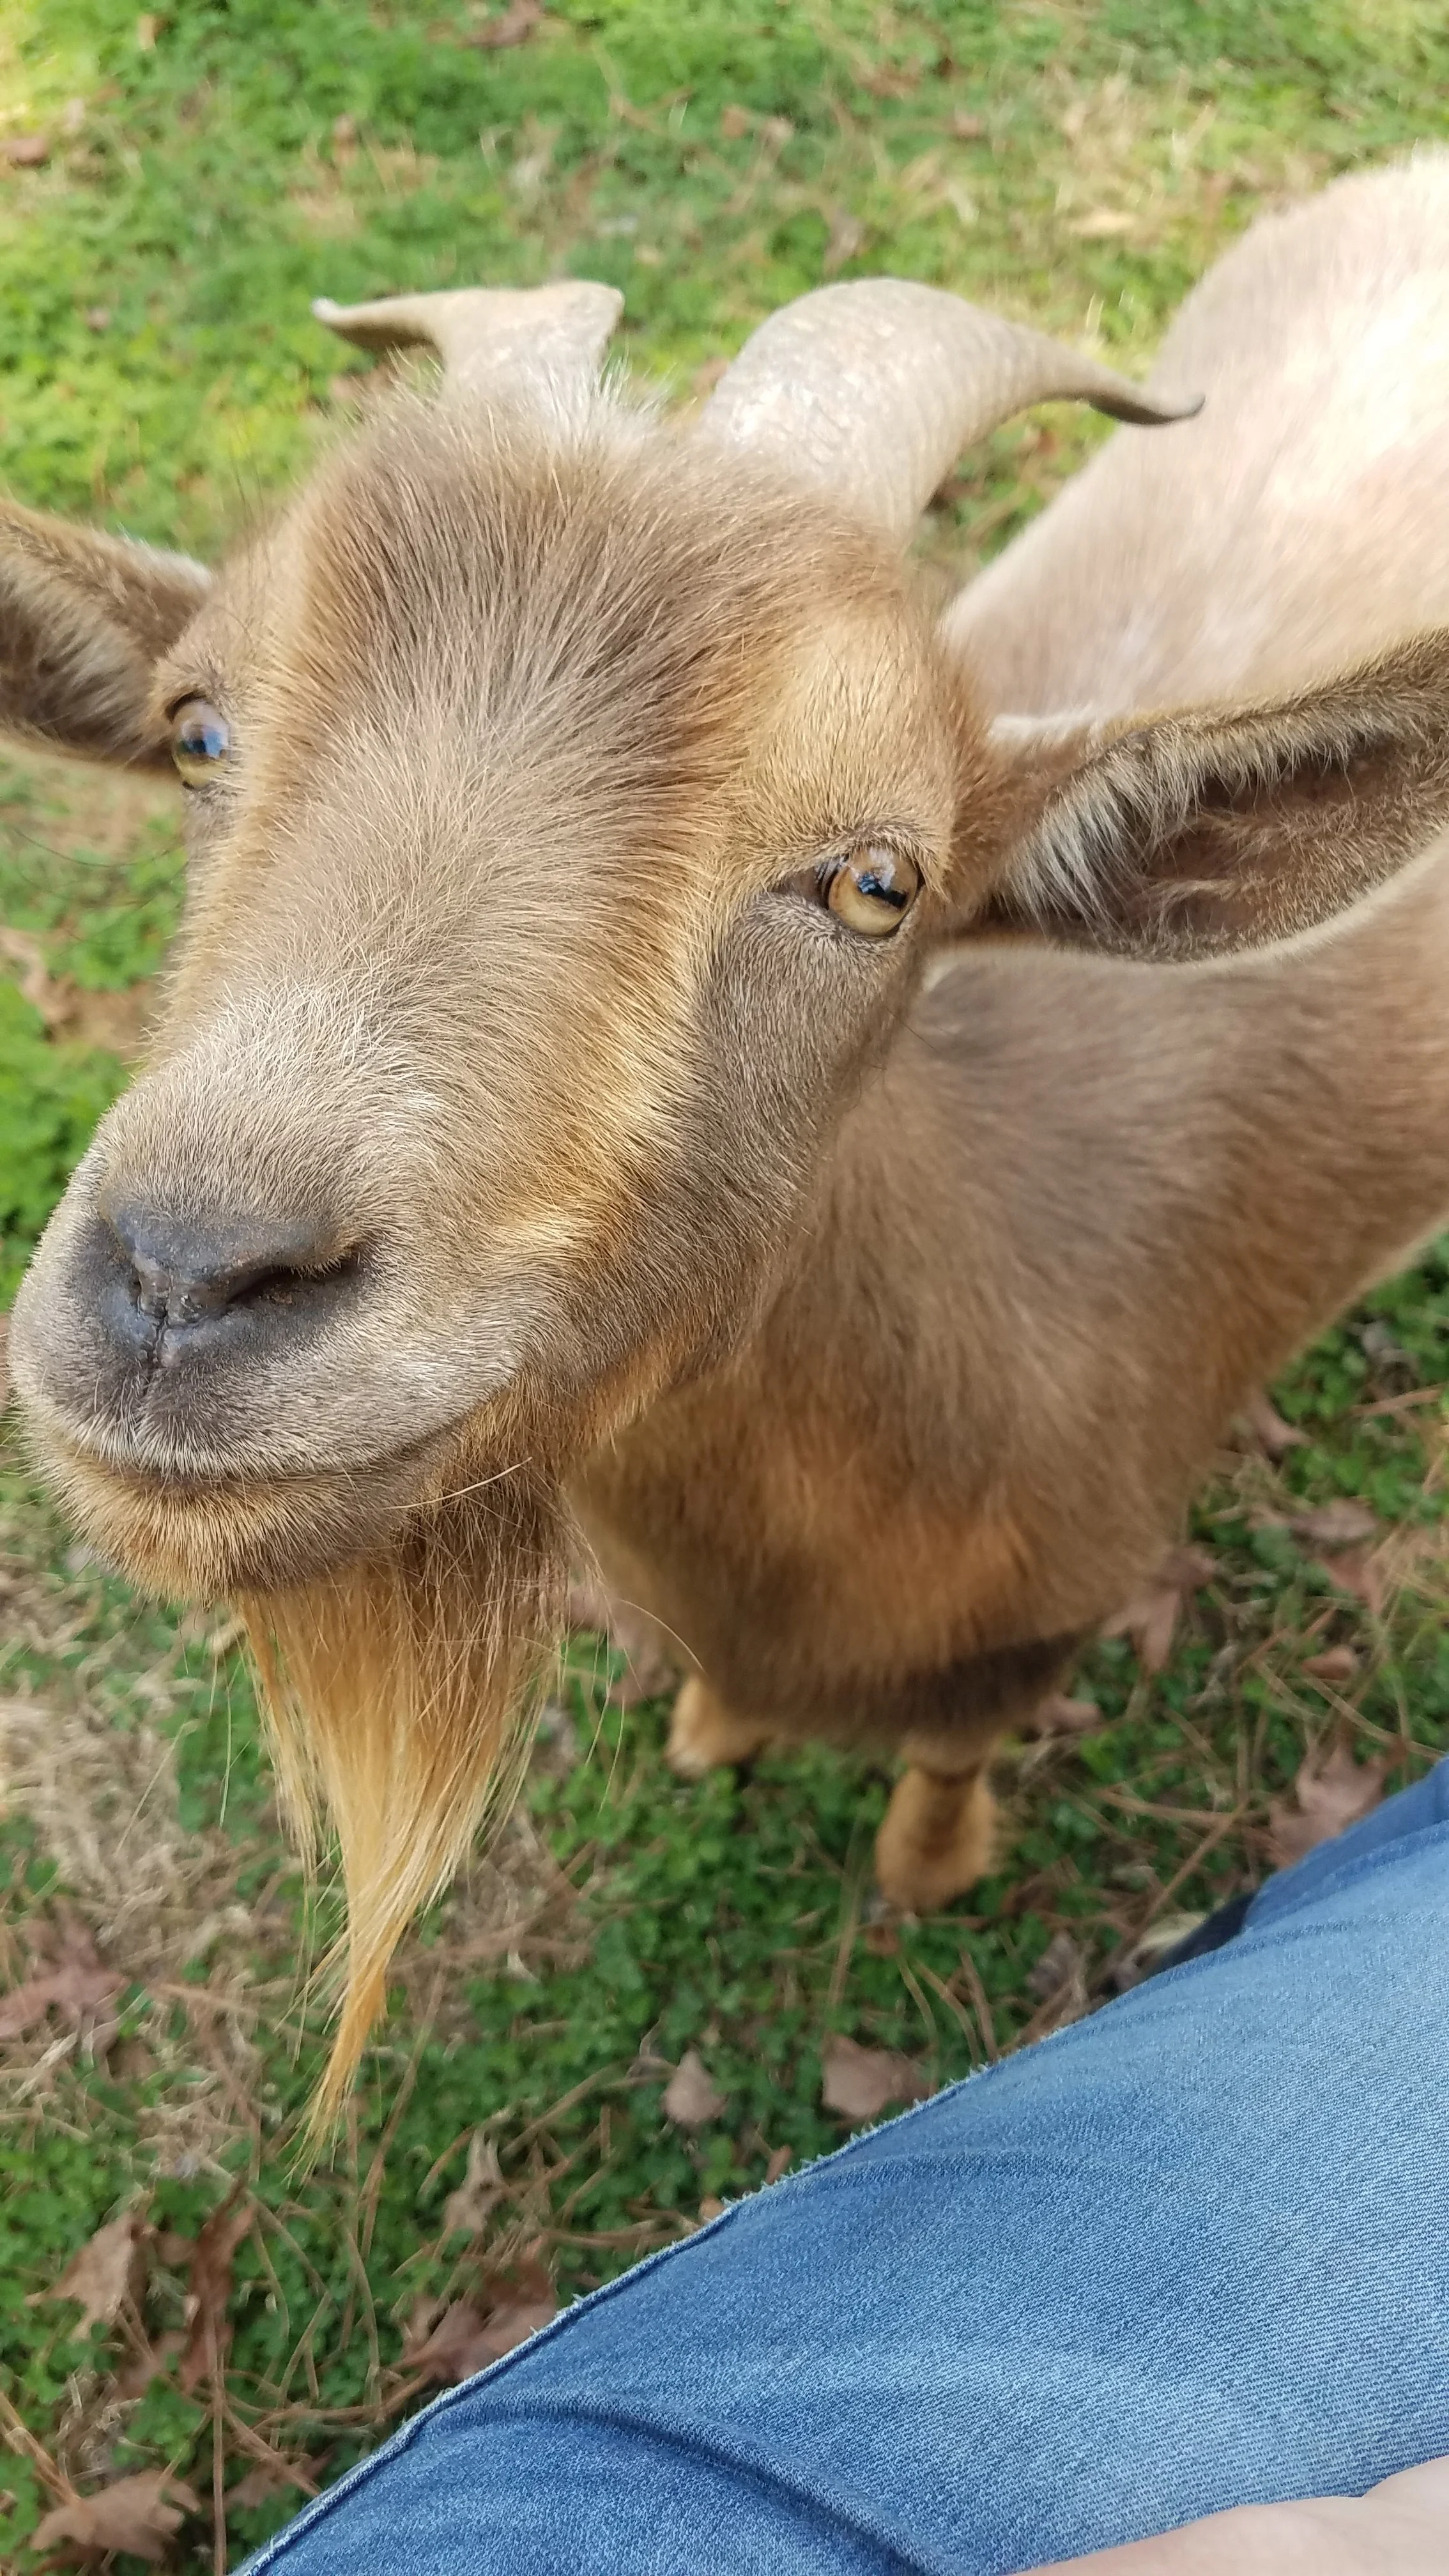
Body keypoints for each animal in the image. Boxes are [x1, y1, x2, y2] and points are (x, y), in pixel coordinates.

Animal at [9, 153, 1449, 2115]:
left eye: (875, 883)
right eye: (198, 733)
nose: (185, 1278)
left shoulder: (1041, 1630)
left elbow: (948, 1769)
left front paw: (930, 1870)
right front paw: (708, 1737)